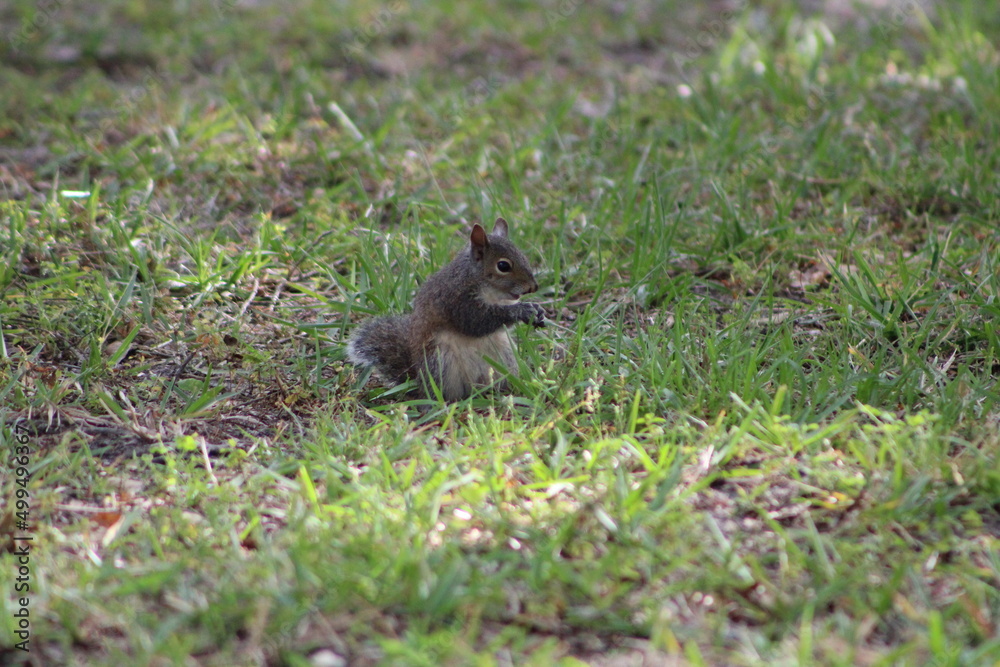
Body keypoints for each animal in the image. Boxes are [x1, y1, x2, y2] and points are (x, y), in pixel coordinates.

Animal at [347, 217, 545, 401]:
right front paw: (522, 310)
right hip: (442, 363)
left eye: (523, 256)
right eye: (503, 266)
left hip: (505, 358)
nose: (533, 287)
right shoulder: (456, 300)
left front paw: (538, 311)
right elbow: (477, 322)